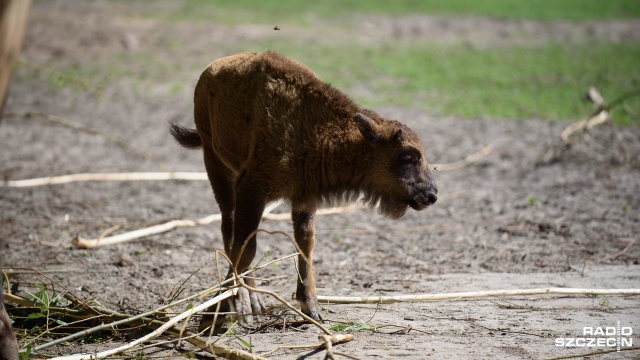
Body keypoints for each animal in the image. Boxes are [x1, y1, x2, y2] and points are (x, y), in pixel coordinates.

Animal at [170, 50, 438, 330]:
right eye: (407, 156)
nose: (431, 195)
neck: (311, 128)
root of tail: (210, 71)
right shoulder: (252, 190)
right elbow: (246, 247)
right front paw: (217, 311)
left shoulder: (304, 199)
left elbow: (305, 244)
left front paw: (312, 308)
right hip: (217, 165)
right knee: (229, 231)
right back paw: (245, 302)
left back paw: (253, 302)